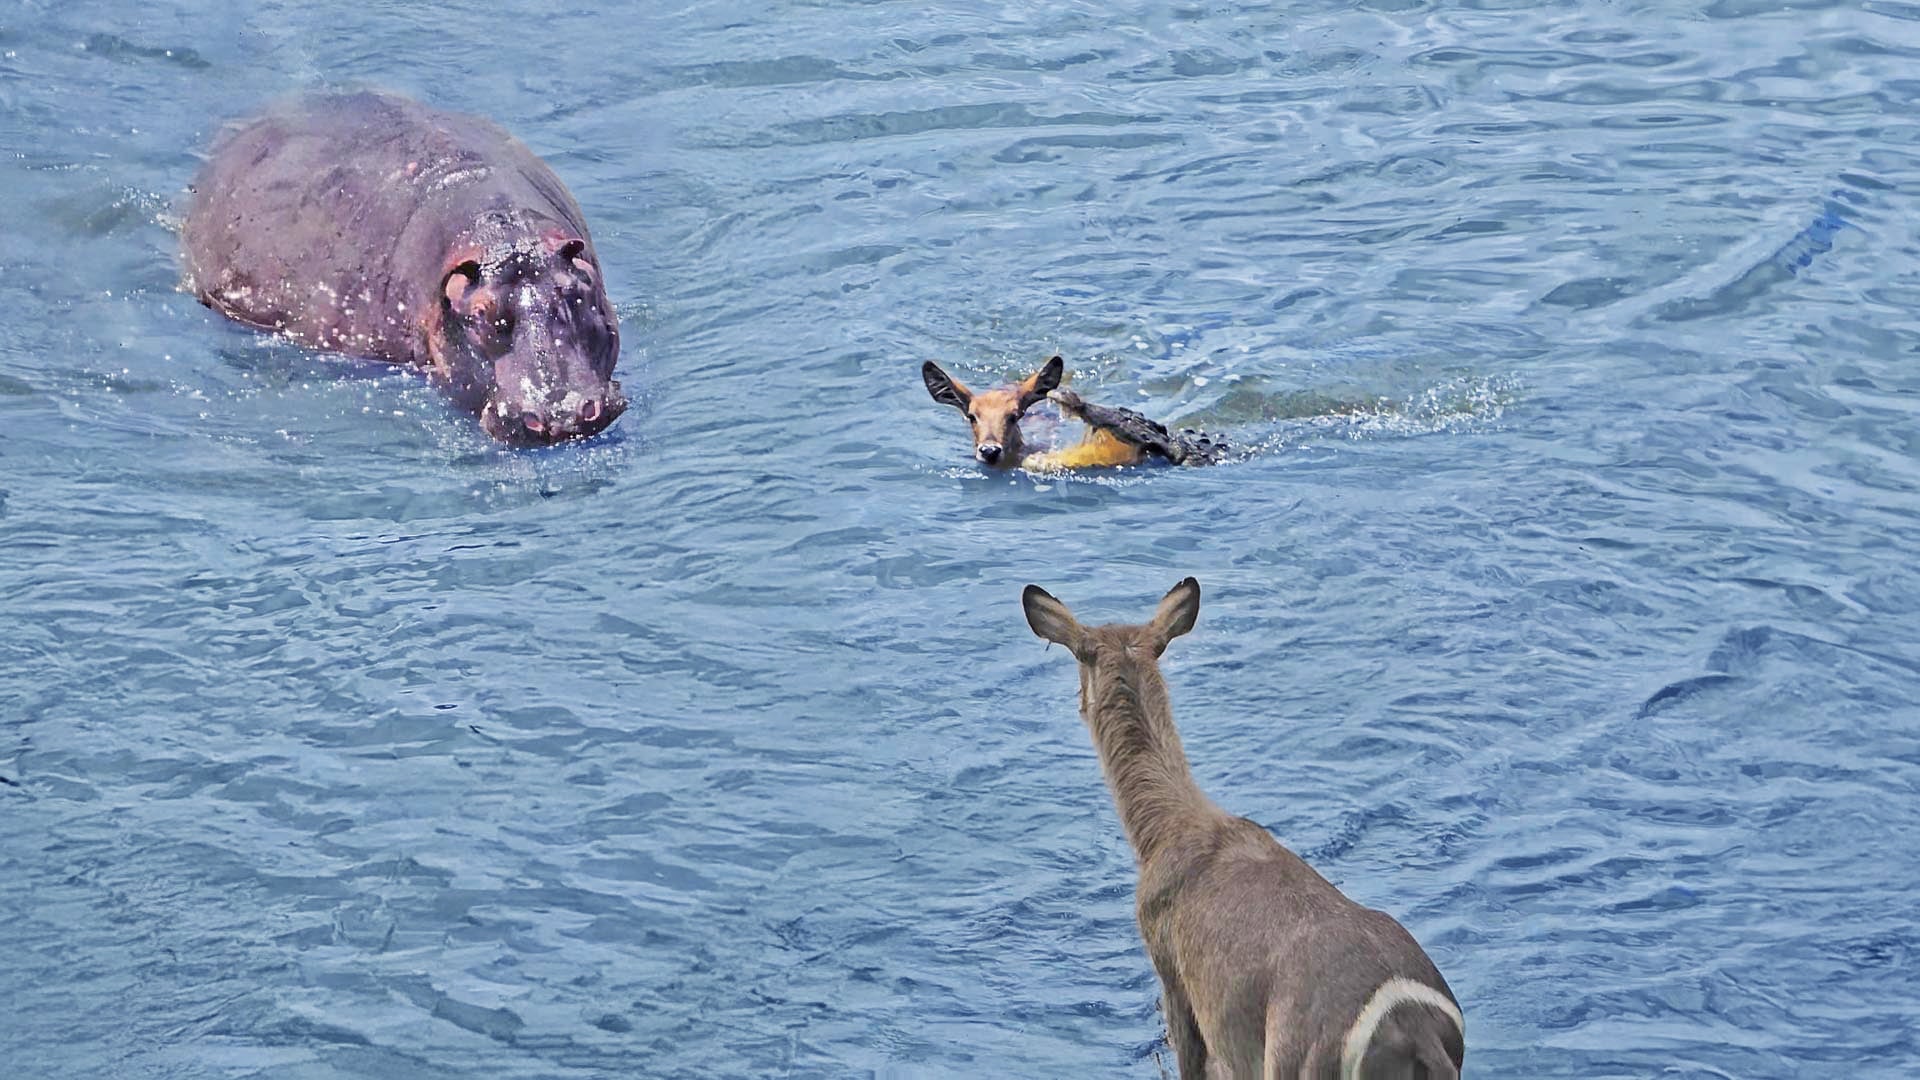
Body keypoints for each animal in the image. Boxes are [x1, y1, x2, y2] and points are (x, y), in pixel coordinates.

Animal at [1020, 579, 1464, 1079]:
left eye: (1081, 659)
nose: (1077, 704)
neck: (1163, 832)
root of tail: (1414, 1031)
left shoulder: (1172, 975)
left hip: (1290, 1062)